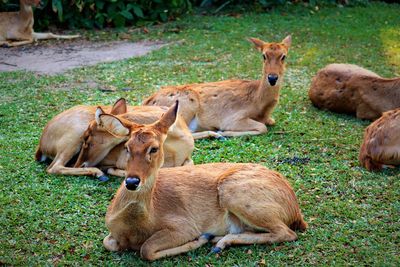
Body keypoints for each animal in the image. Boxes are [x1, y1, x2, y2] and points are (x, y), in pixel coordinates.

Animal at [100, 101, 306, 260]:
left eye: (154, 148)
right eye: (127, 147)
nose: (132, 182)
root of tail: (294, 209)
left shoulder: (184, 225)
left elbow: (146, 250)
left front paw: (198, 240)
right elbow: (108, 243)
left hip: (236, 193)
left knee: (287, 232)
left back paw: (219, 241)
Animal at [143, 35, 290, 140]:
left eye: (284, 56)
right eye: (264, 55)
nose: (272, 78)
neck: (260, 105)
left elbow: (270, 122)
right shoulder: (232, 118)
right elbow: (262, 127)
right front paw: (224, 132)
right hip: (185, 105)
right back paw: (215, 134)